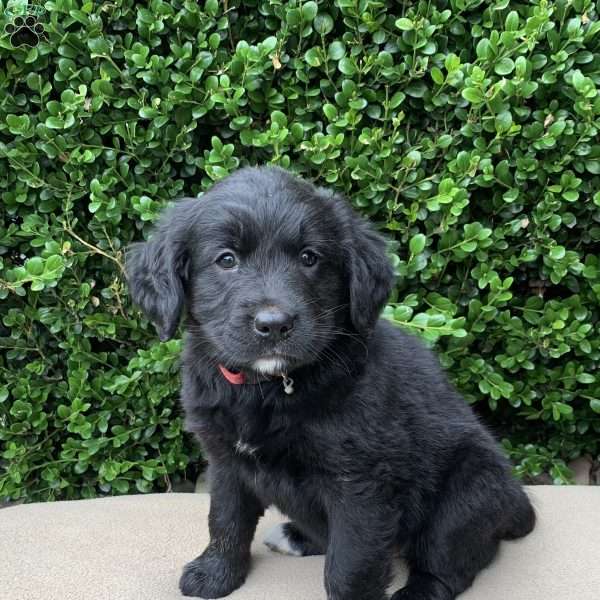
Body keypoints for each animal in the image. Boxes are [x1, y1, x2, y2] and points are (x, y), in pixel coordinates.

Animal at [126, 166, 536, 600]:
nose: (274, 325)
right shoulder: (225, 461)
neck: (269, 387)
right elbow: (225, 519)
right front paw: (216, 575)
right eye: (226, 260)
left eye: (310, 258)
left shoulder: (359, 485)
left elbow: (350, 566)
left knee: (447, 565)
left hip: (468, 493)